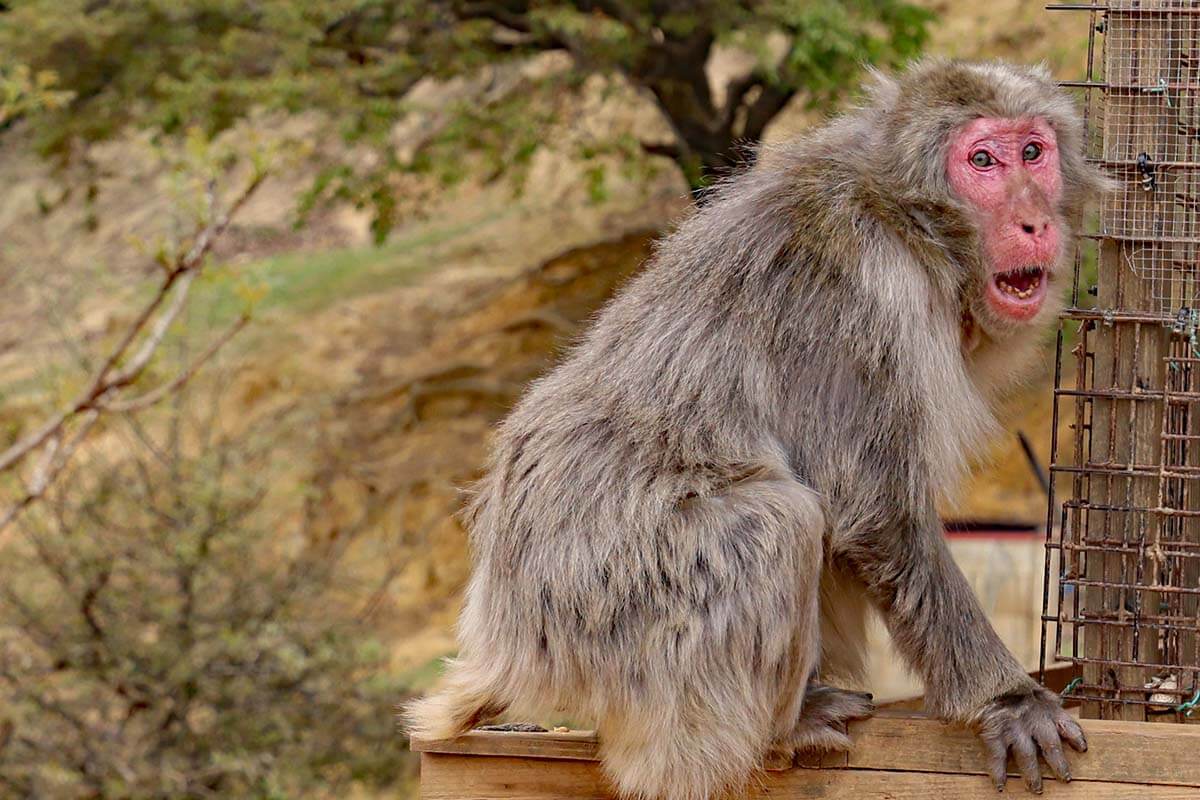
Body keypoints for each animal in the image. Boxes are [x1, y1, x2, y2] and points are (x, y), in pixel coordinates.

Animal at [405, 59, 1110, 798]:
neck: (907, 225)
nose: (1033, 220)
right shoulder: (859, 303)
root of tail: (501, 637)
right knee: (780, 522)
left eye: (1033, 152)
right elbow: (877, 514)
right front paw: (1008, 700)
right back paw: (777, 732)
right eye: (982, 161)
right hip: (601, 597)